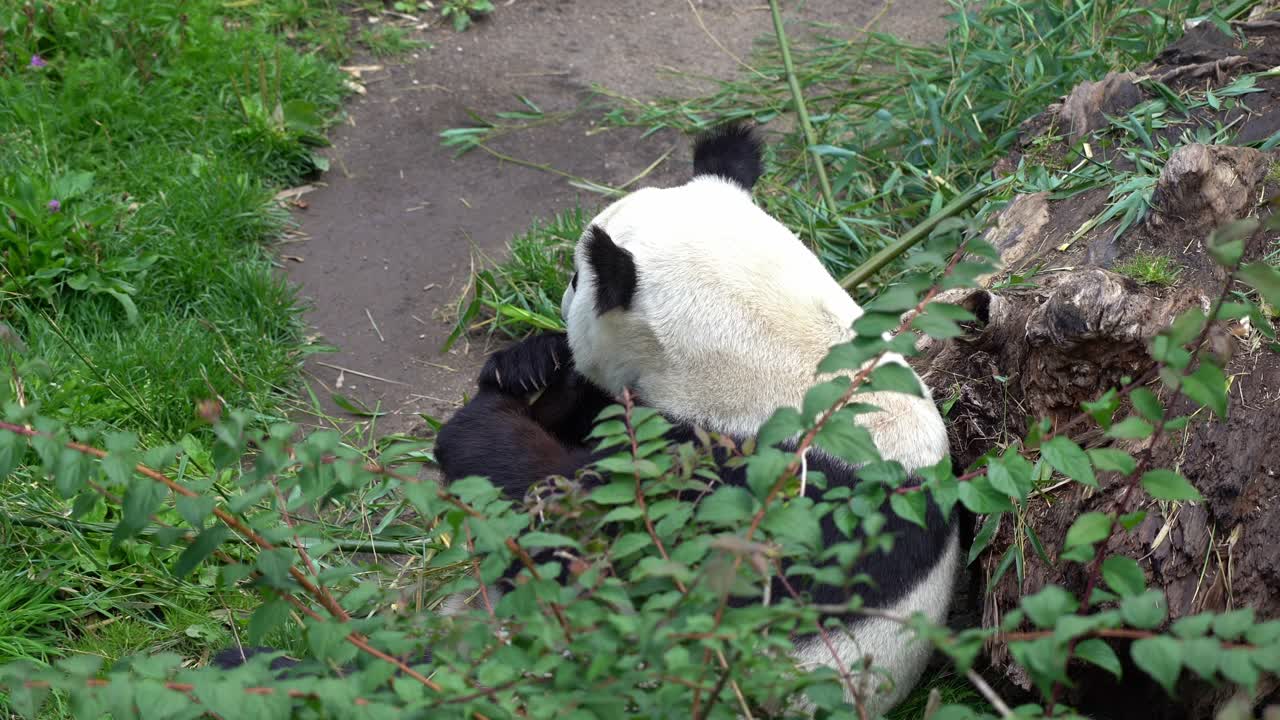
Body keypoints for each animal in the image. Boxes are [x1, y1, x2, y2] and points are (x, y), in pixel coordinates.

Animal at [432, 123, 961, 717]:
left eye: (573, 278)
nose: (562, 305)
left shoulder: (743, 485)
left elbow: (575, 523)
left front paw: (486, 420)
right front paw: (528, 365)